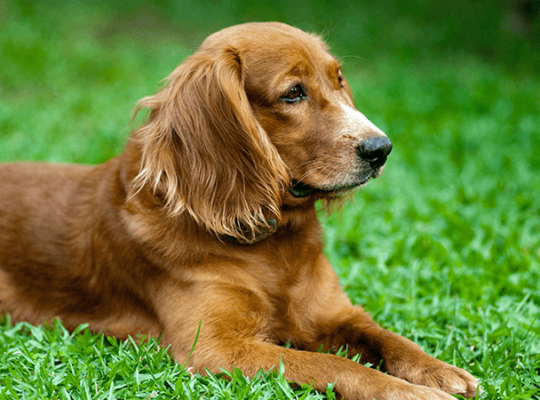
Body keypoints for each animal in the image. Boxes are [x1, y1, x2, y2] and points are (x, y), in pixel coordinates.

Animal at [1, 22, 480, 400]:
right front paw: (408, 392)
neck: (272, 243)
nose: (381, 148)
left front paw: (439, 371)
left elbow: (389, 337)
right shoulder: (216, 348)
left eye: (339, 80)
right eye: (293, 93)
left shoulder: (336, 314)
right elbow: (332, 365)